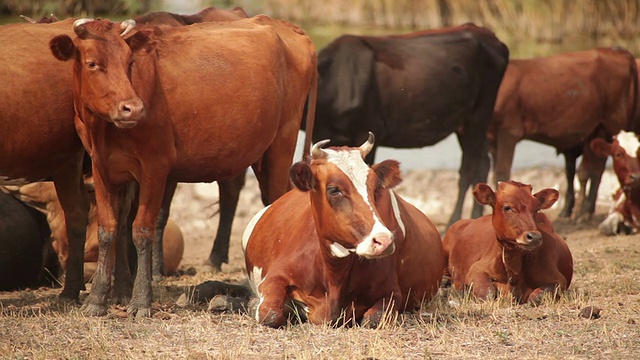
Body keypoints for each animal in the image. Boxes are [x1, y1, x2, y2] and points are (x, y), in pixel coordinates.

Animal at [50, 17, 318, 316]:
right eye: (92, 63)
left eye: (130, 62)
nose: (132, 108)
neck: (103, 130)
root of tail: (280, 24)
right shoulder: (102, 168)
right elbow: (109, 229)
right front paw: (97, 299)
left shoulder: (155, 166)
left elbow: (141, 229)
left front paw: (140, 301)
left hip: (282, 144)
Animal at [241, 134, 444, 328]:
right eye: (334, 190)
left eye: (375, 186)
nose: (384, 240)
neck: (334, 276)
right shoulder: (274, 277)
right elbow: (270, 314)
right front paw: (255, 304)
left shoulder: (391, 291)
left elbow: (374, 319)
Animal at [442, 180, 572, 304]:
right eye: (507, 207)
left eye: (537, 209)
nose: (534, 237)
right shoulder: (476, 269)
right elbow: (487, 293)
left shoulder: (559, 280)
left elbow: (536, 297)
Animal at [490, 47, 636, 222]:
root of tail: (615, 50)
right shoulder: (491, 138)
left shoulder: (508, 133)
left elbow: (501, 173)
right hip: (597, 130)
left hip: (606, 125)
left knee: (595, 169)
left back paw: (583, 212)